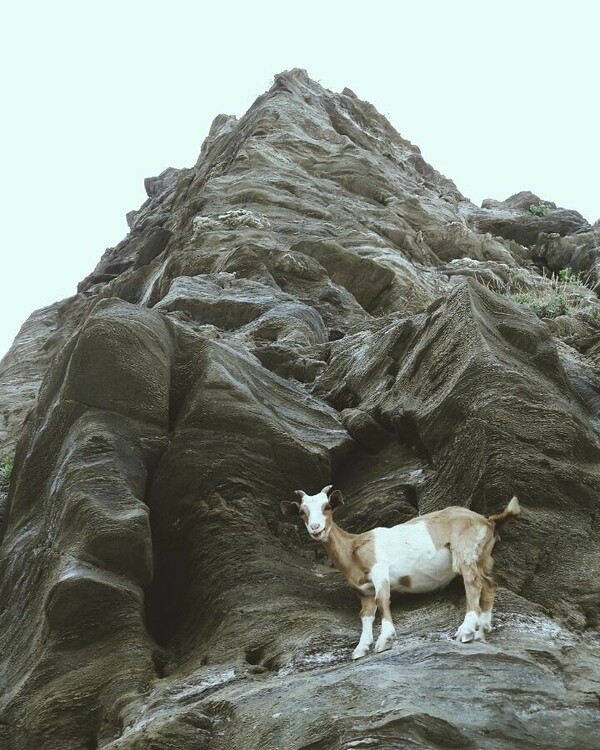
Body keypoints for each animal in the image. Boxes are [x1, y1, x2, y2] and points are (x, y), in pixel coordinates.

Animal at [282, 488, 520, 656]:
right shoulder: (363, 589)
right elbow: (366, 614)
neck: (352, 547)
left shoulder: (379, 570)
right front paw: (361, 648)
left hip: (465, 551)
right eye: (302, 512)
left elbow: (382, 600)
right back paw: (482, 629)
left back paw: (466, 631)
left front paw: (385, 640)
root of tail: (487, 520)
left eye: (327, 507)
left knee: (473, 583)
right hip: (482, 557)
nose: (315, 529)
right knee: (489, 584)